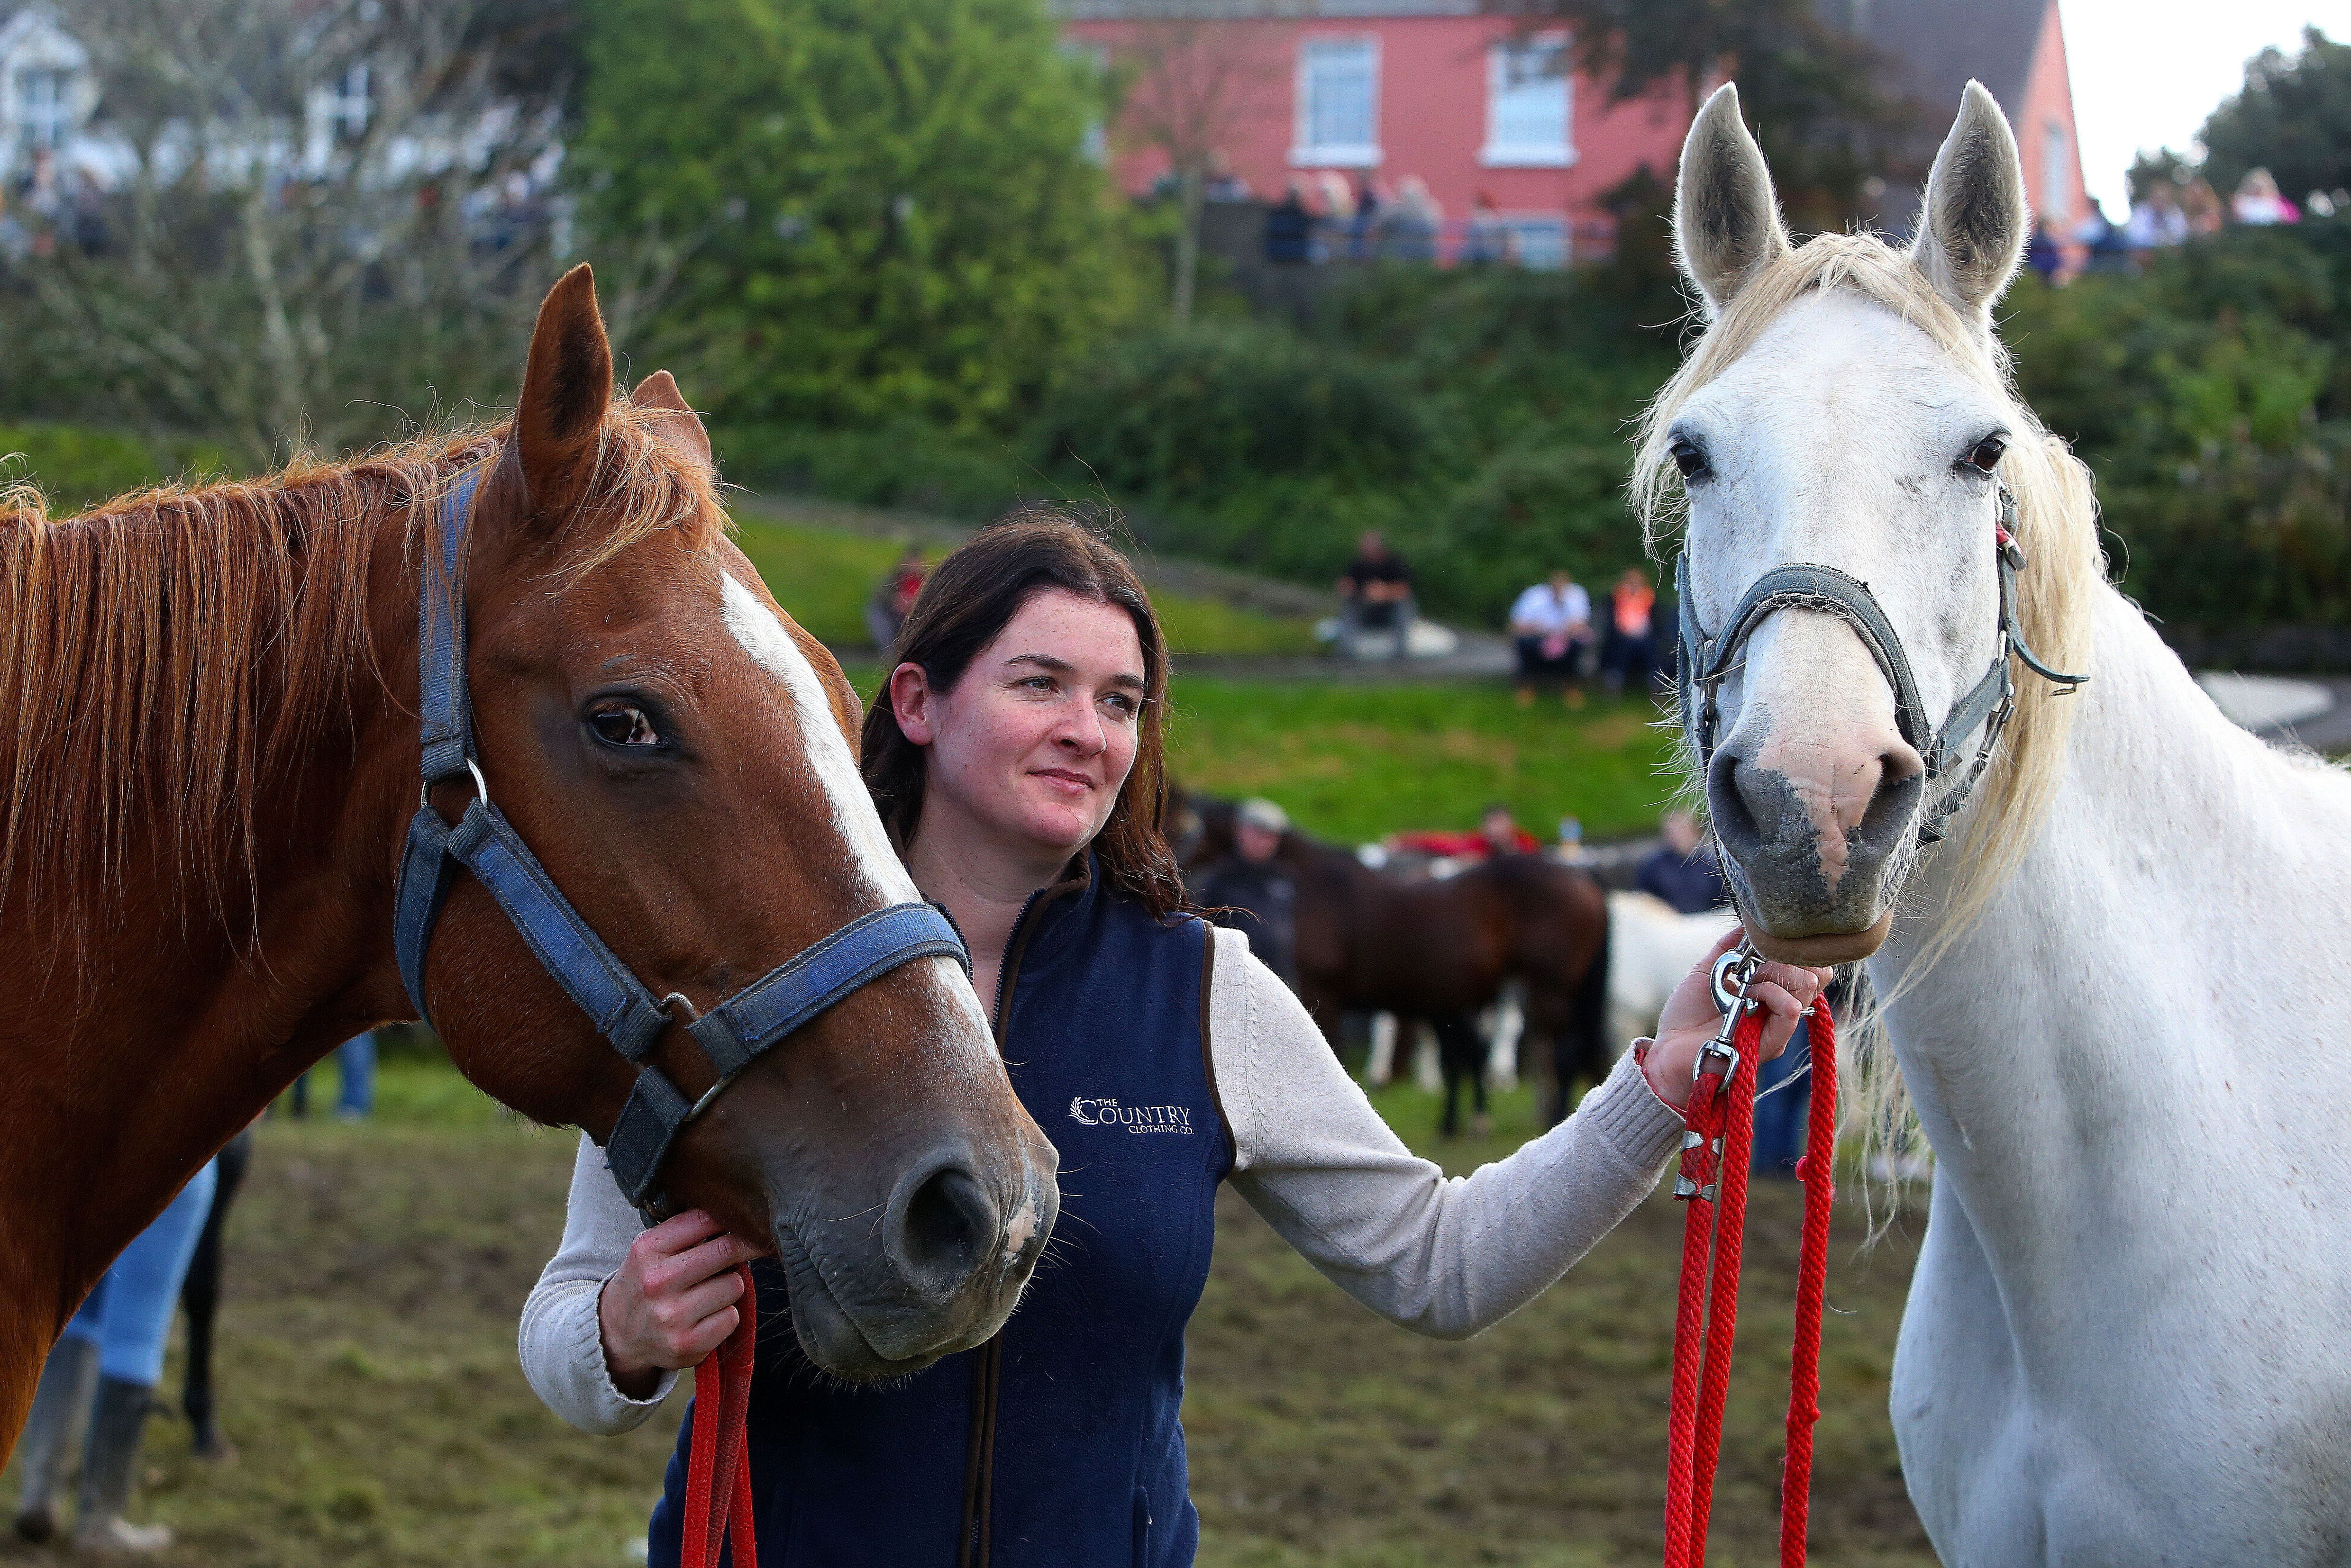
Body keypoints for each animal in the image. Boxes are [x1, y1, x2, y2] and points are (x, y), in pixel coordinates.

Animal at [1176, 799, 1617, 1128]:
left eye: (1185, 827)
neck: (1307, 888)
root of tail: (1587, 882)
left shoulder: (1323, 992)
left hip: (1550, 988)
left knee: (1560, 1051)